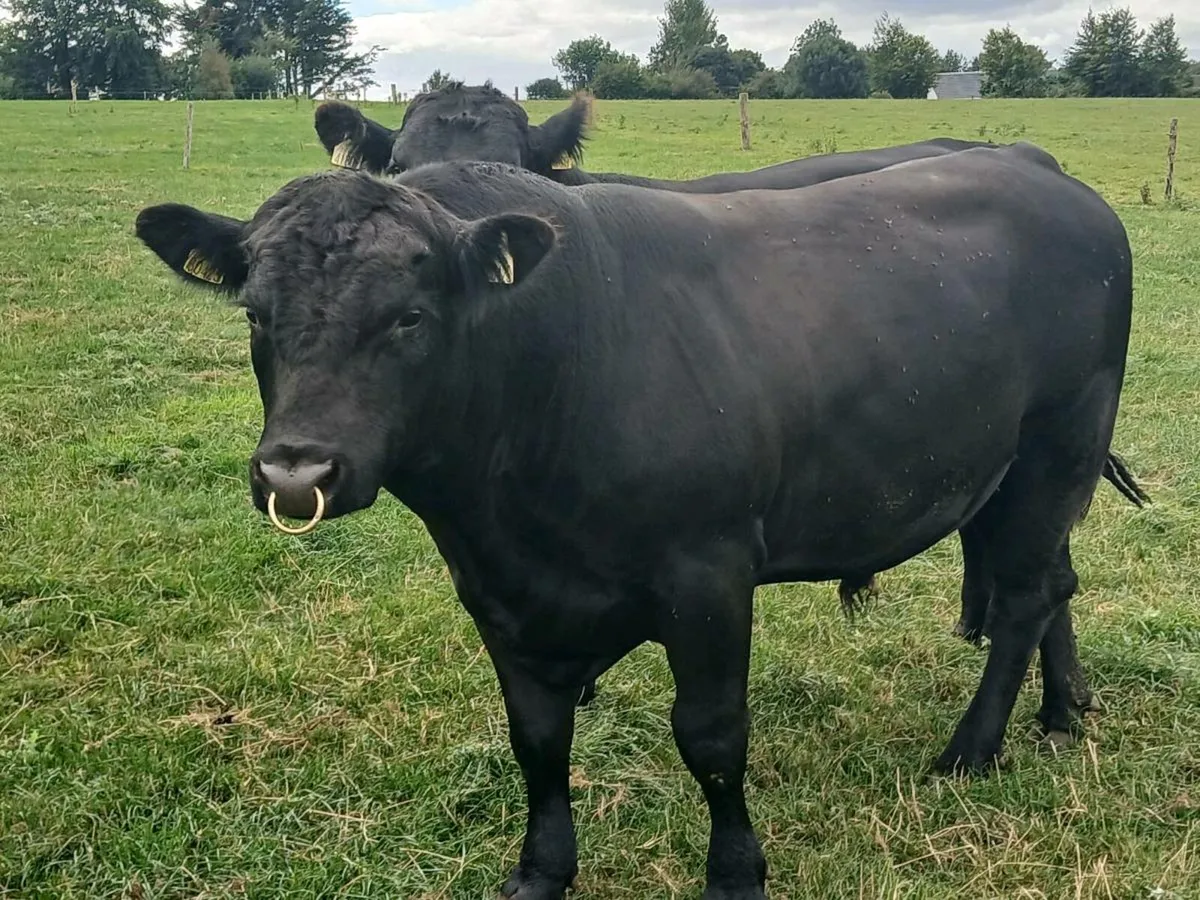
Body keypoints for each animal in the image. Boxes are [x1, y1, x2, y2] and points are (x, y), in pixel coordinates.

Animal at [134, 147, 1137, 899]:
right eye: (255, 315)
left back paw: (971, 751)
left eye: (409, 318)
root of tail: (1038, 169)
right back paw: (1060, 712)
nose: (296, 470)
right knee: (1051, 581)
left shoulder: (709, 573)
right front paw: (541, 871)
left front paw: (734, 874)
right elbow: (536, 738)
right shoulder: (497, 591)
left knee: (1023, 595)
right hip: (1004, 474)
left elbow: (711, 734)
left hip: (1059, 442)